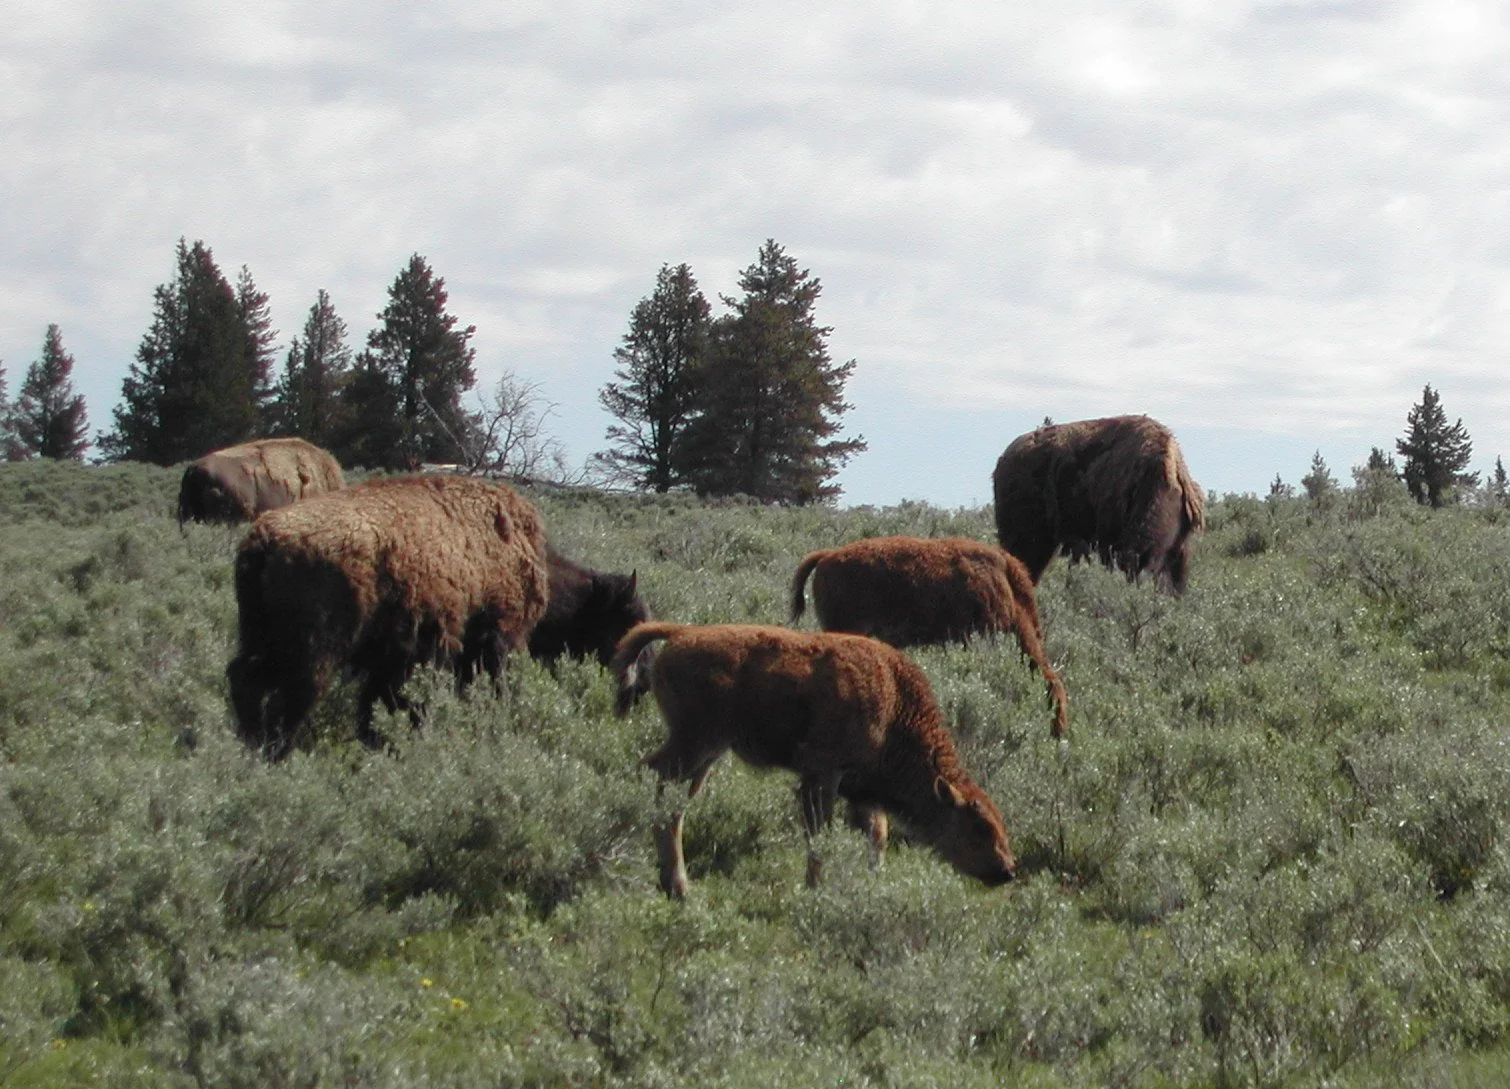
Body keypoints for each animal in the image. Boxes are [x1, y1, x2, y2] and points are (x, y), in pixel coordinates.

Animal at [226, 474, 548, 760]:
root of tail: (265, 540)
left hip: (261, 636)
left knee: (245, 677)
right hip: (315, 649)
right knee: (296, 693)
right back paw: (276, 752)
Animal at [611, 622, 1016, 897]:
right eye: (979, 827)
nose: (1008, 869)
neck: (895, 706)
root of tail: (682, 633)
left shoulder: (859, 791)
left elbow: (877, 835)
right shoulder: (821, 775)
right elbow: (820, 834)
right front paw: (815, 888)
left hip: (707, 753)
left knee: (677, 801)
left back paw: (675, 883)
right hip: (696, 742)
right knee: (655, 779)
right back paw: (674, 883)